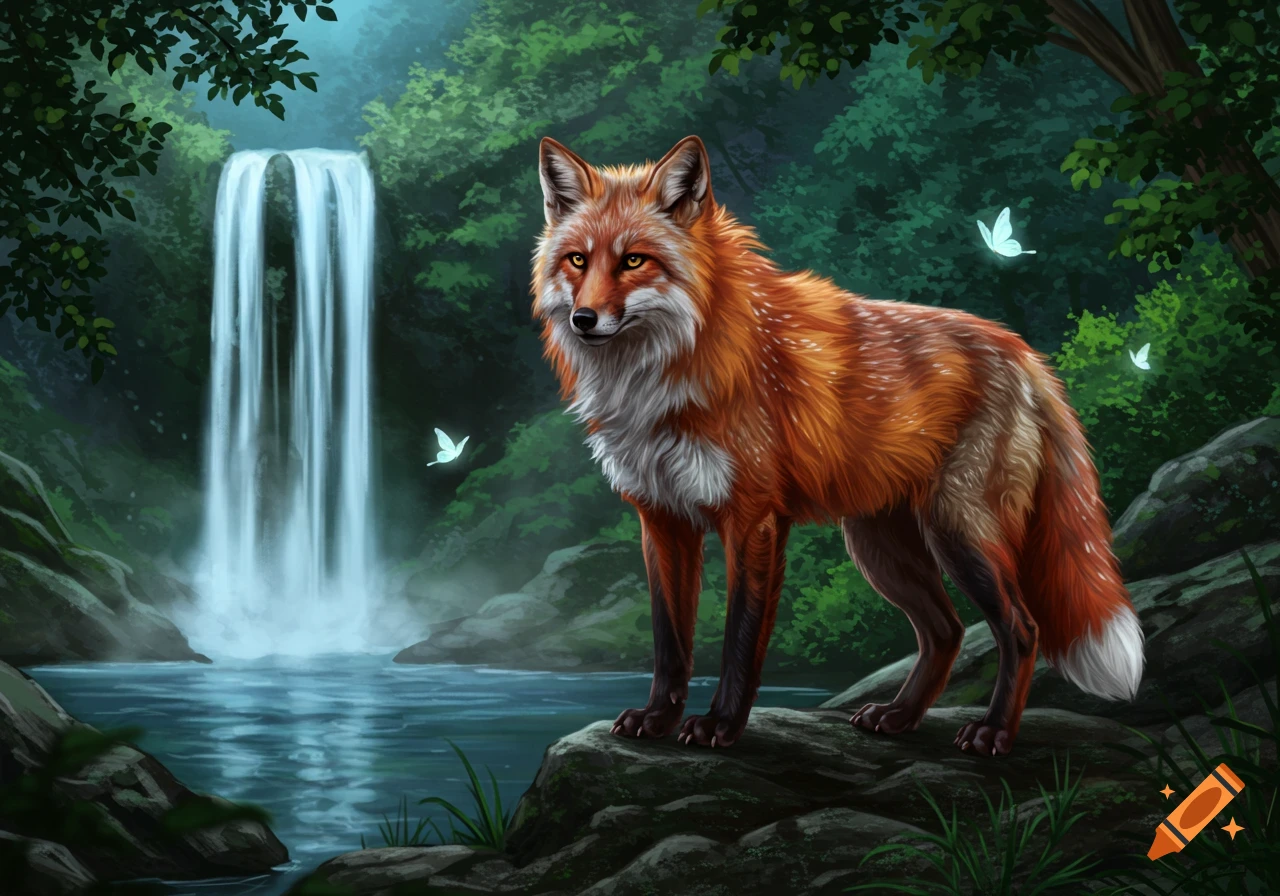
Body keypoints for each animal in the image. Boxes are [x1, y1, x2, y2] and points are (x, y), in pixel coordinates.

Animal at [530, 134, 1145, 756]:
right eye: (577, 260)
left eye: (634, 260)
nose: (584, 318)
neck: (665, 378)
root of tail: (1024, 351)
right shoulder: (661, 520)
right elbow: (669, 642)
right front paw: (657, 718)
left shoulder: (753, 519)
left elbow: (739, 640)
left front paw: (721, 724)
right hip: (879, 547)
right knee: (945, 632)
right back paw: (900, 716)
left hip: (959, 532)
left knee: (1021, 628)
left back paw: (993, 731)